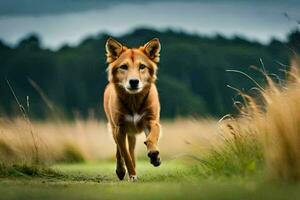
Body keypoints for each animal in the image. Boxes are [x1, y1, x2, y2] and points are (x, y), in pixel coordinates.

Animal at [103, 36, 162, 180]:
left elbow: (152, 137)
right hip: (114, 128)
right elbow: (125, 154)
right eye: (124, 67)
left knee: (132, 150)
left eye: (142, 66)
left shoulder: (152, 121)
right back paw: (121, 170)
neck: (134, 101)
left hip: (131, 134)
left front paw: (154, 155)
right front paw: (131, 174)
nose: (134, 81)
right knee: (120, 151)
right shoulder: (119, 129)